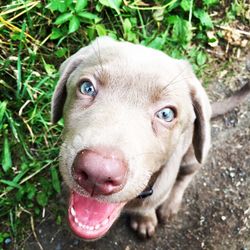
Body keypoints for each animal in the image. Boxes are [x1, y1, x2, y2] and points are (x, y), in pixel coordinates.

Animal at [51, 36, 250, 239]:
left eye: (166, 114)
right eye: (87, 87)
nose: (96, 174)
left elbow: (147, 206)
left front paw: (144, 219)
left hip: (193, 156)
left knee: (185, 177)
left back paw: (170, 205)